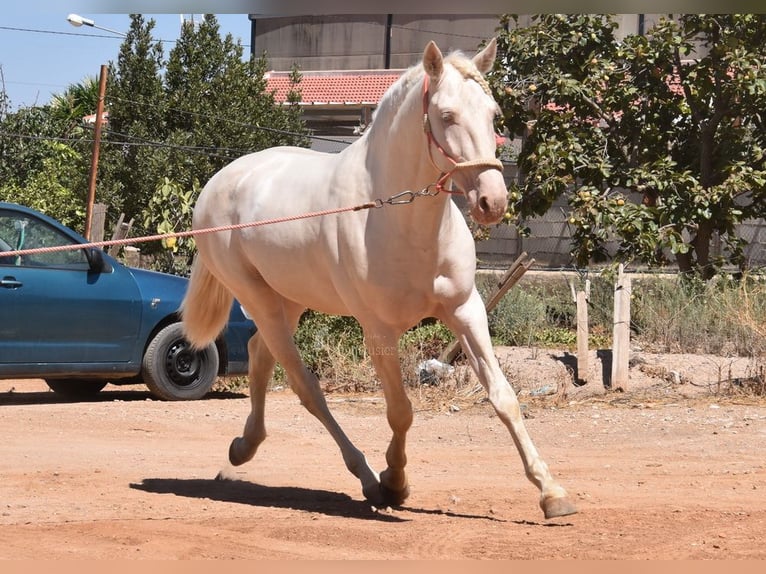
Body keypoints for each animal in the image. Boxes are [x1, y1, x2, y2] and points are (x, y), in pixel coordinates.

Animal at [180, 38, 576, 520]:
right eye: (447, 115)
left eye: (494, 113)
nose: (492, 202)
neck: (398, 218)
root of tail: (219, 182)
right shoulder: (379, 331)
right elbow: (401, 411)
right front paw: (394, 481)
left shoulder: (466, 311)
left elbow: (504, 397)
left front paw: (551, 492)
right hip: (257, 298)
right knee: (306, 387)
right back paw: (364, 477)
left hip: (289, 299)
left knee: (259, 354)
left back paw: (244, 447)